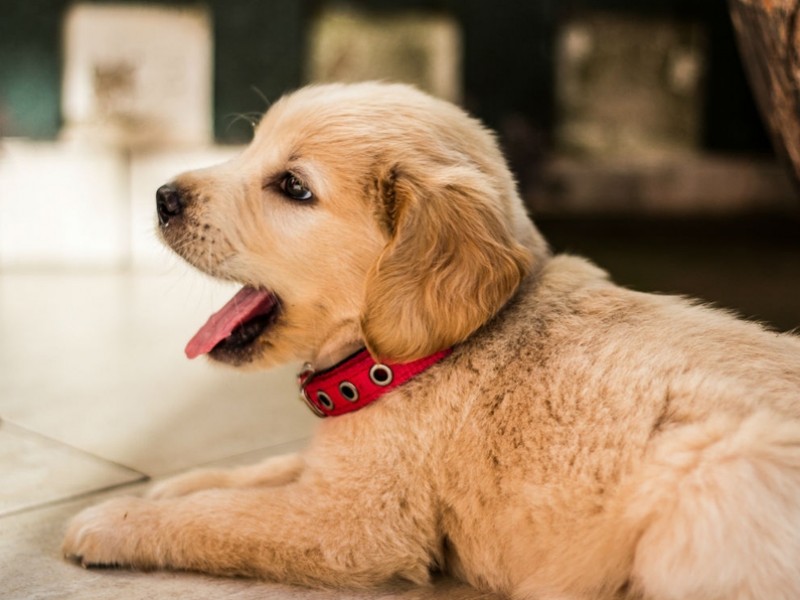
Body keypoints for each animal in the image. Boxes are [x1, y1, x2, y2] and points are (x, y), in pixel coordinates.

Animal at [62, 81, 800, 600]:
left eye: (292, 186)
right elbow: (254, 474)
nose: (162, 196)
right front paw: (168, 488)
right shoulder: (337, 469)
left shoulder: (355, 524)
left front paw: (113, 520)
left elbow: (224, 517)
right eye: (252, 150)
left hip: (706, 482)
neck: (410, 360)